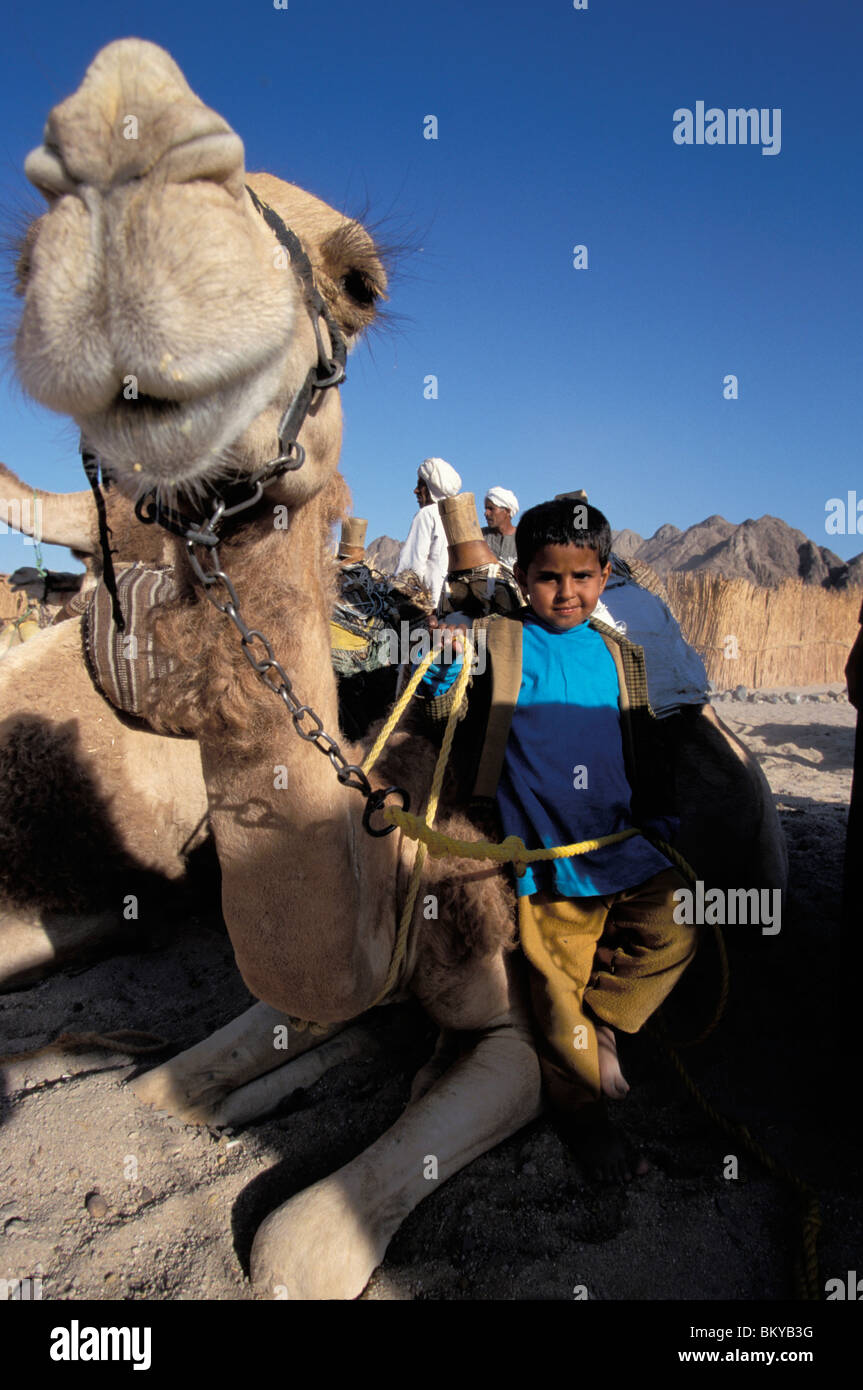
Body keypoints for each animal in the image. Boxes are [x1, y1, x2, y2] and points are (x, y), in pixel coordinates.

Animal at [4, 38, 788, 1298]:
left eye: (361, 280)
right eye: (23, 258)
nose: (127, 120)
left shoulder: (517, 1039)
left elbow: (290, 1244)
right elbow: (151, 1091)